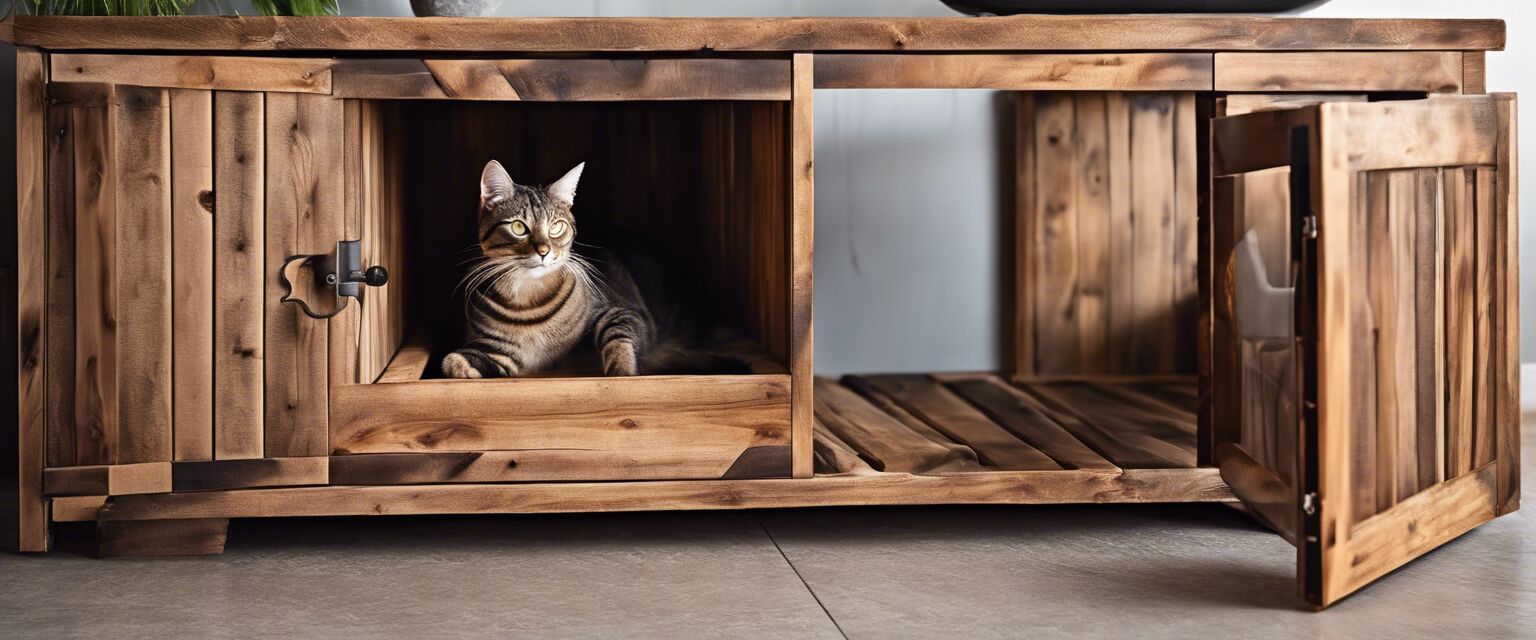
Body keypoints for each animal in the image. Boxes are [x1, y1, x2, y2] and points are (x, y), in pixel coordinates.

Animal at [442, 161, 746, 379]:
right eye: (518, 227)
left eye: (556, 227)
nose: (544, 251)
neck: (528, 299)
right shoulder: (507, 352)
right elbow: (473, 358)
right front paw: (460, 362)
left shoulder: (622, 312)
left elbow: (619, 337)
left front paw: (622, 369)